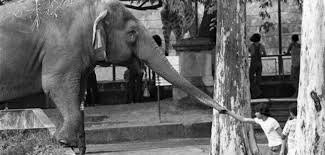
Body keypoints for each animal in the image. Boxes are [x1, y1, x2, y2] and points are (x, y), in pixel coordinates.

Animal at [0, 0, 225, 153]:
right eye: (132, 33)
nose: (224, 111)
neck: (92, 8)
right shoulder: (62, 50)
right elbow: (55, 85)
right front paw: (64, 142)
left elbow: (78, 94)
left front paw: (76, 145)